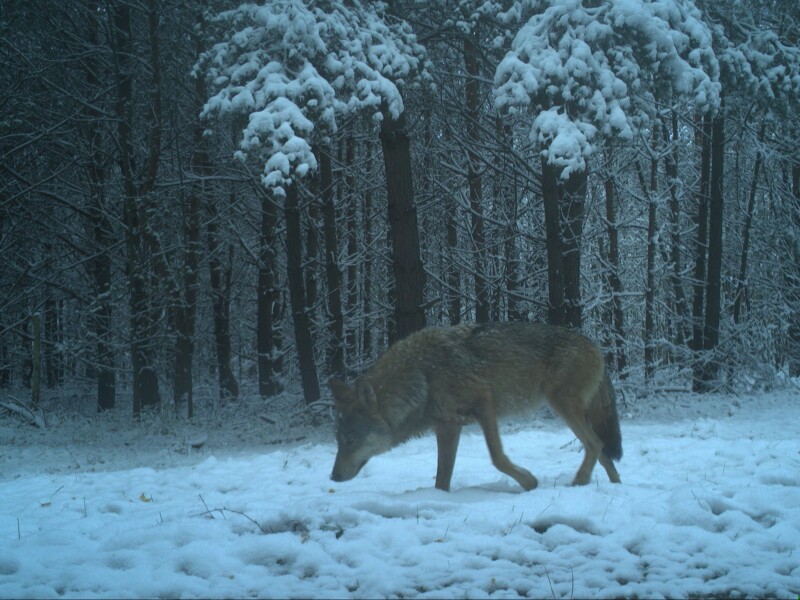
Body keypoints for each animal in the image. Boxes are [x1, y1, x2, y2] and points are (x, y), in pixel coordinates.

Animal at [328, 324, 620, 492]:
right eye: (338, 441)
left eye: (351, 440)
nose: (332, 476)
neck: (423, 376)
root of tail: (595, 344)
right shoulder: (448, 426)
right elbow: (442, 478)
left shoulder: (484, 405)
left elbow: (497, 457)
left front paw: (529, 482)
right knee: (603, 450)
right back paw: (614, 485)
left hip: (562, 405)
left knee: (595, 444)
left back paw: (579, 482)